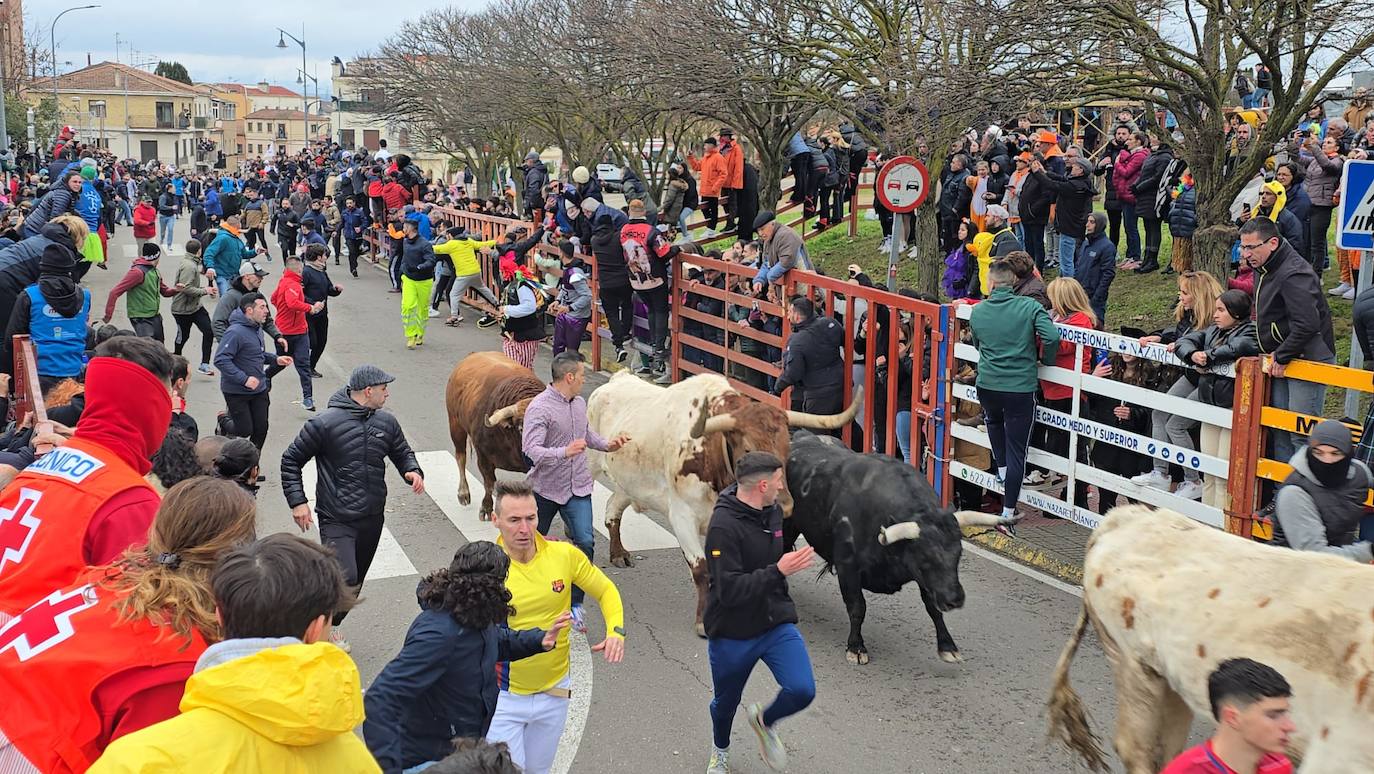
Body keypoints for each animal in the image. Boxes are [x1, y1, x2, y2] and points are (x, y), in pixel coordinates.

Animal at [445, 351, 541, 519]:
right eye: (521, 428)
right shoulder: (483, 457)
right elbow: (489, 483)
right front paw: (486, 508)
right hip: (455, 424)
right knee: (460, 457)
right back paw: (463, 493)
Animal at [582, 373, 857, 635]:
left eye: (786, 449)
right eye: (748, 449)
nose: (784, 503)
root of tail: (617, 379)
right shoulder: (682, 516)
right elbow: (701, 569)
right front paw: (703, 621)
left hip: (631, 484)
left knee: (612, 507)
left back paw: (618, 553)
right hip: (590, 463)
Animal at [785, 428, 1022, 665]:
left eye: (958, 555)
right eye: (926, 557)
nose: (954, 599)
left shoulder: (923, 578)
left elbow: (932, 607)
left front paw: (947, 646)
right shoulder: (847, 567)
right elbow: (857, 607)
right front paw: (856, 647)